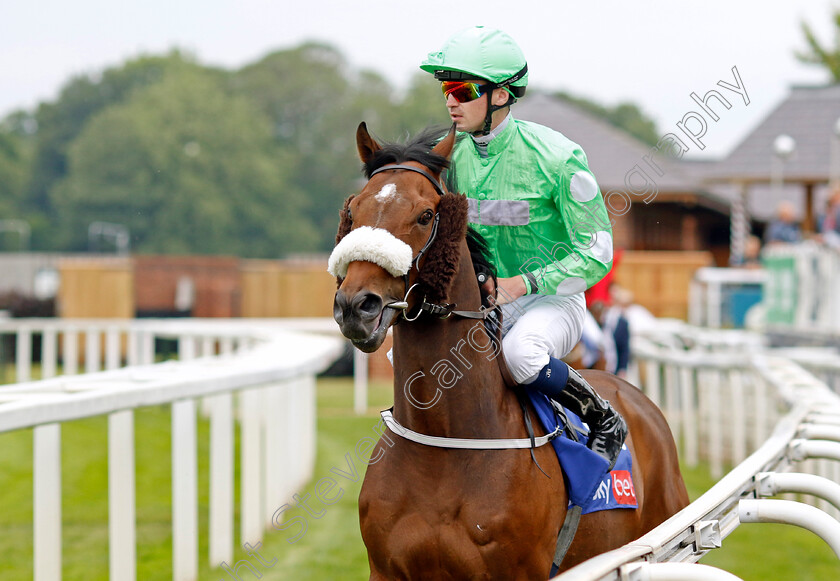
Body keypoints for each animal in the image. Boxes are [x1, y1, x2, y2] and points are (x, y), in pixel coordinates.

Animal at [330, 123, 688, 580]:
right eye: (354, 211)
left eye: (425, 215)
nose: (356, 306)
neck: (445, 446)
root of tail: (639, 401)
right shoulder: (386, 569)